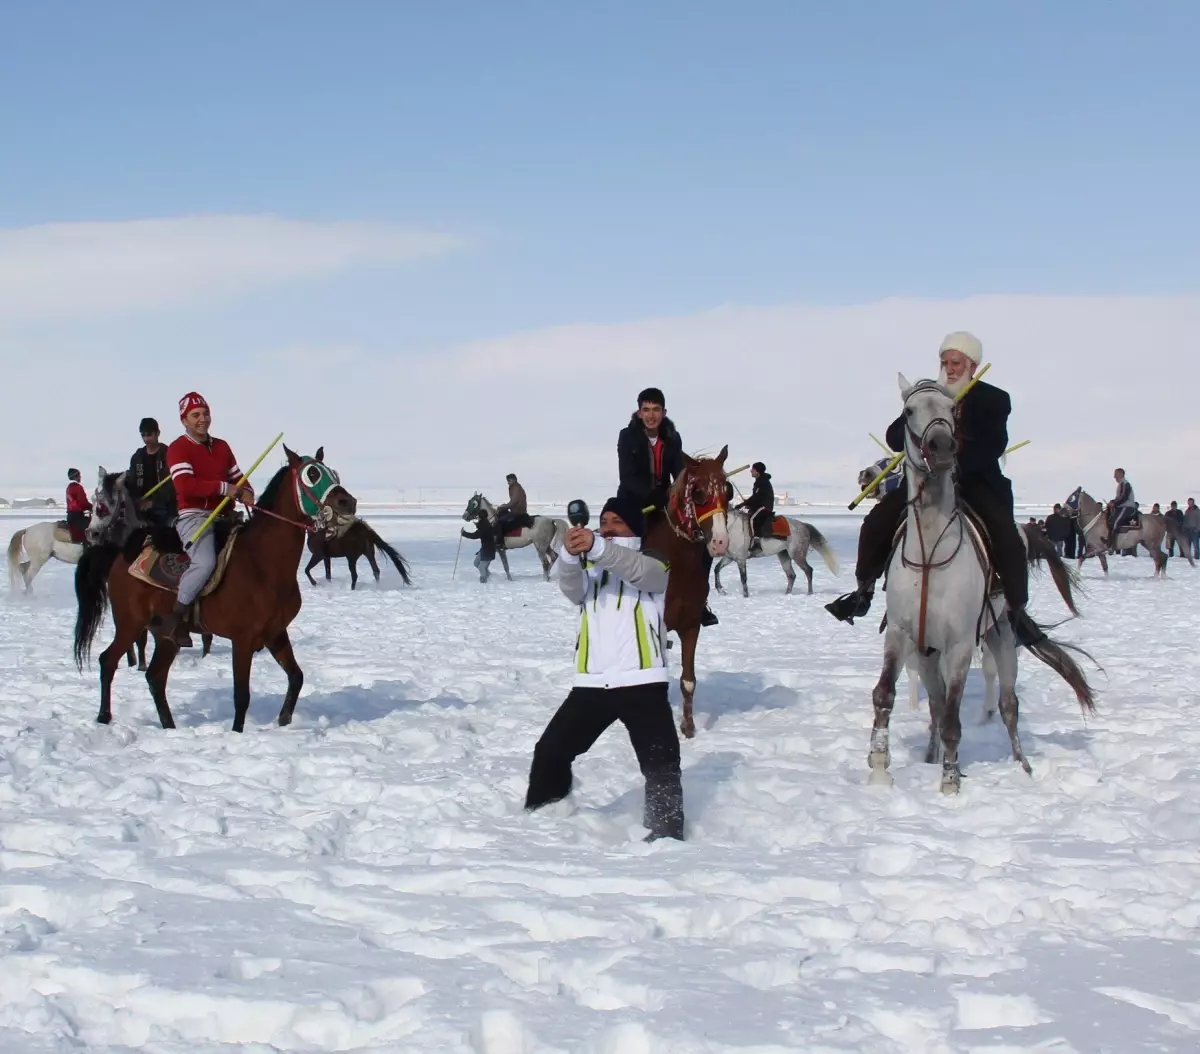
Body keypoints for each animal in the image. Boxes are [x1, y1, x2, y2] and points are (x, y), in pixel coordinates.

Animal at [73, 446, 355, 734]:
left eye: (333, 473)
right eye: (312, 475)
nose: (348, 503)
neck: (263, 562)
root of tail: (120, 552)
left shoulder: (275, 633)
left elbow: (296, 678)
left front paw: (284, 720)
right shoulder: (243, 639)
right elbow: (241, 695)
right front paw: (237, 733)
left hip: (165, 636)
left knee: (155, 677)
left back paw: (169, 727)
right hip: (130, 623)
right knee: (108, 660)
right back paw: (104, 717)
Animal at [648, 448, 729, 739]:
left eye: (727, 489)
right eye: (697, 492)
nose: (720, 541)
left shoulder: (691, 625)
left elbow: (688, 681)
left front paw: (689, 727)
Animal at [705, 508, 840, 597]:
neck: (732, 529)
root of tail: (803, 525)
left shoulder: (740, 559)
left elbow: (743, 578)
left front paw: (745, 595)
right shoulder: (730, 557)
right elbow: (716, 569)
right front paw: (721, 590)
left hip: (797, 555)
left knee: (808, 571)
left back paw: (809, 593)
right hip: (784, 555)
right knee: (791, 575)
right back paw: (787, 594)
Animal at [864, 374, 1099, 797]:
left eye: (951, 409)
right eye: (908, 411)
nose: (942, 448)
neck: (929, 549)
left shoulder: (959, 644)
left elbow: (954, 718)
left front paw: (950, 783)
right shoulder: (902, 634)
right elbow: (885, 696)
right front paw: (879, 771)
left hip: (1001, 638)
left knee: (1008, 705)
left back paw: (1022, 765)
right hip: (928, 652)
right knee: (937, 705)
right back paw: (930, 756)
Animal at [1060, 489, 1190, 578]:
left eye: (1072, 498)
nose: (1061, 511)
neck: (1094, 521)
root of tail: (1160, 519)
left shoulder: (1096, 549)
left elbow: (1081, 558)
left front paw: (1077, 574)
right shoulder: (1099, 552)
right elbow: (1104, 567)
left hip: (1152, 545)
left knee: (1160, 559)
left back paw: (1156, 577)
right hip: (1148, 544)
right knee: (1162, 558)